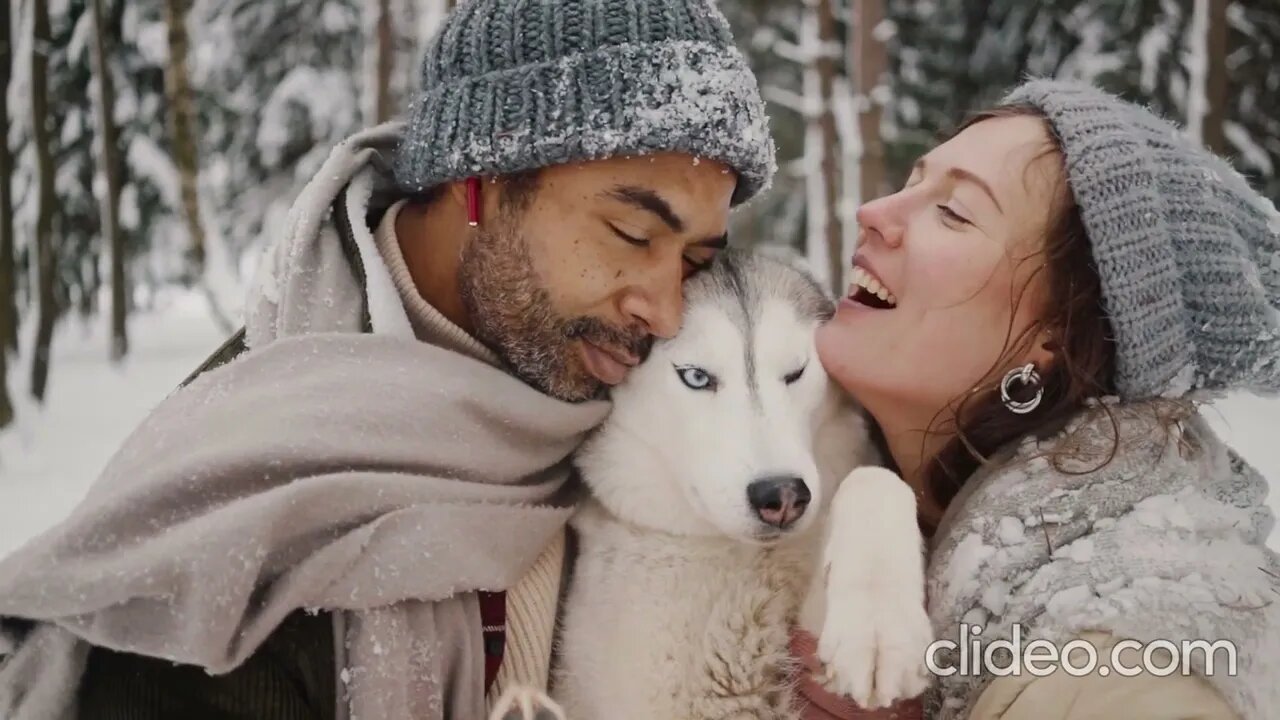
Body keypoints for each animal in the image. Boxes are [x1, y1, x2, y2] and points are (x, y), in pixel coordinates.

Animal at [491, 248, 931, 717]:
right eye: (696, 377)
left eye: (796, 372)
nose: (783, 495)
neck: (739, 556)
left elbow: (874, 479)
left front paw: (881, 629)